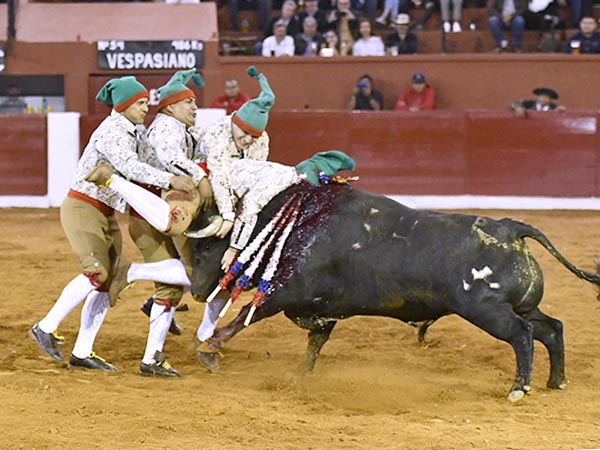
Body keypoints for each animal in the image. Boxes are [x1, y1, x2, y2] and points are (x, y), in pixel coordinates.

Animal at [189, 182, 600, 402]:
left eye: (206, 247)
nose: (195, 292)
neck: (296, 223)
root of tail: (510, 228)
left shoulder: (284, 292)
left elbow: (247, 316)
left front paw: (209, 348)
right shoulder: (325, 309)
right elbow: (315, 343)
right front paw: (300, 376)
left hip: (488, 312)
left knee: (523, 335)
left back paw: (519, 388)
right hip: (523, 306)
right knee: (552, 329)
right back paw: (556, 381)